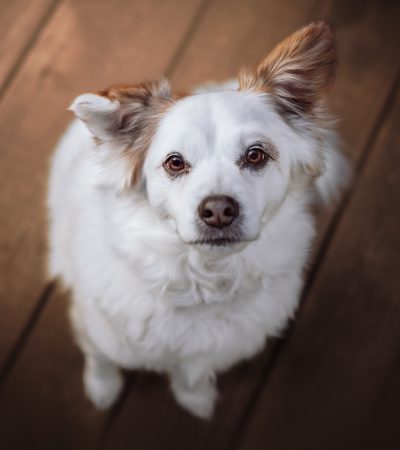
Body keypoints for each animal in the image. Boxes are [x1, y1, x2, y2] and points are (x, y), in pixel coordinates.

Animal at [47, 22, 350, 418]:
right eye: (175, 162)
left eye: (256, 155)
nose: (218, 209)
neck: (203, 282)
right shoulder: (97, 331)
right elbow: (101, 360)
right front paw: (102, 389)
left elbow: (191, 377)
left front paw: (196, 399)